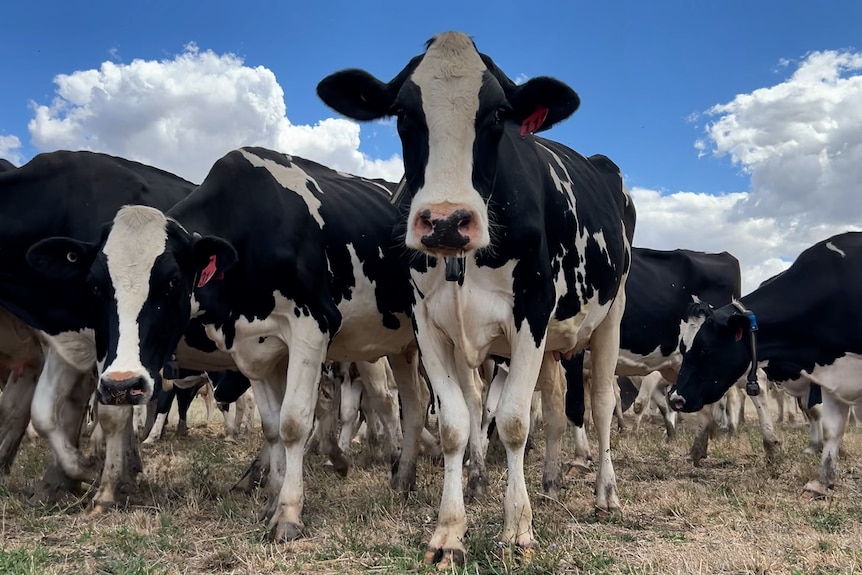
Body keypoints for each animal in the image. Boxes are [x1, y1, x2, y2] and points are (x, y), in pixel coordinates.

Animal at [0, 150, 196, 503]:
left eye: (173, 282)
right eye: (93, 285)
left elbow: (111, 413)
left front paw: (105, 485)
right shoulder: (65, 338)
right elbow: (43, 411)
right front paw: (73, 472)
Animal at [26, 148, 430, 539]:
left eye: (172, 281)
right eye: (95, 286)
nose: (122, 385)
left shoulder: (312, 327)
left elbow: (293, 423)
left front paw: (289, 514)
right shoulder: (256, 350)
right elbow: (272, 427)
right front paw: (272, 502)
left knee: (395, 401)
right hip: (403, 347)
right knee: (413, 402)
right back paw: (403, 479)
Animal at [318, 31, 635, 565]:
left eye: (497, 115)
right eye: (404, 114)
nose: (445, 221)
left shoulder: (531, 309)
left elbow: (512, 421)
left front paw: (517, 529)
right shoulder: (427, 322)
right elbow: (455, 423)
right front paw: (449, 530)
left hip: (613, 312)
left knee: (599, 402)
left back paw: (605, 493)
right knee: (550, 404)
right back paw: (543, 481)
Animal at [668, 232, 862, 499]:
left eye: (705, 349)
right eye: (683, 348)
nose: (676, 398)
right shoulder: (830, 374)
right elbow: (832, 428)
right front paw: (822, 482)